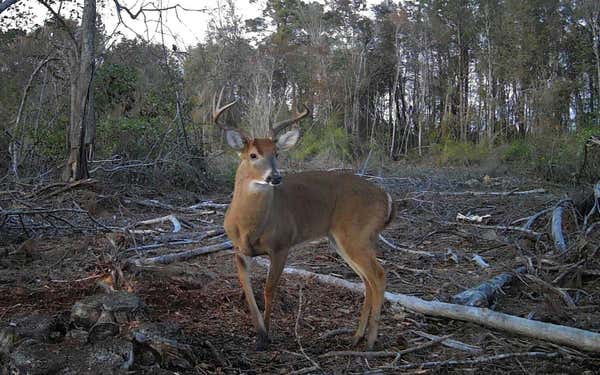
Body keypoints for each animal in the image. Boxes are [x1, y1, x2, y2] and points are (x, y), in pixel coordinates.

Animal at [213, 91, 396, 352]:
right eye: (253, 155)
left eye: (277, 153)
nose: (275, 177)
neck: (249, 226)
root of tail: (386, 197)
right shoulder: (238, 250)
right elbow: (247, 291)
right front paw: (259, 335)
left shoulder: (282, 244)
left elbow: (269, 289)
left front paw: (268, 335)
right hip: (341, 240)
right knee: (367, 280)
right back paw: (356, 337)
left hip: (356, 234)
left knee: (378, 276)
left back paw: (370, 342)